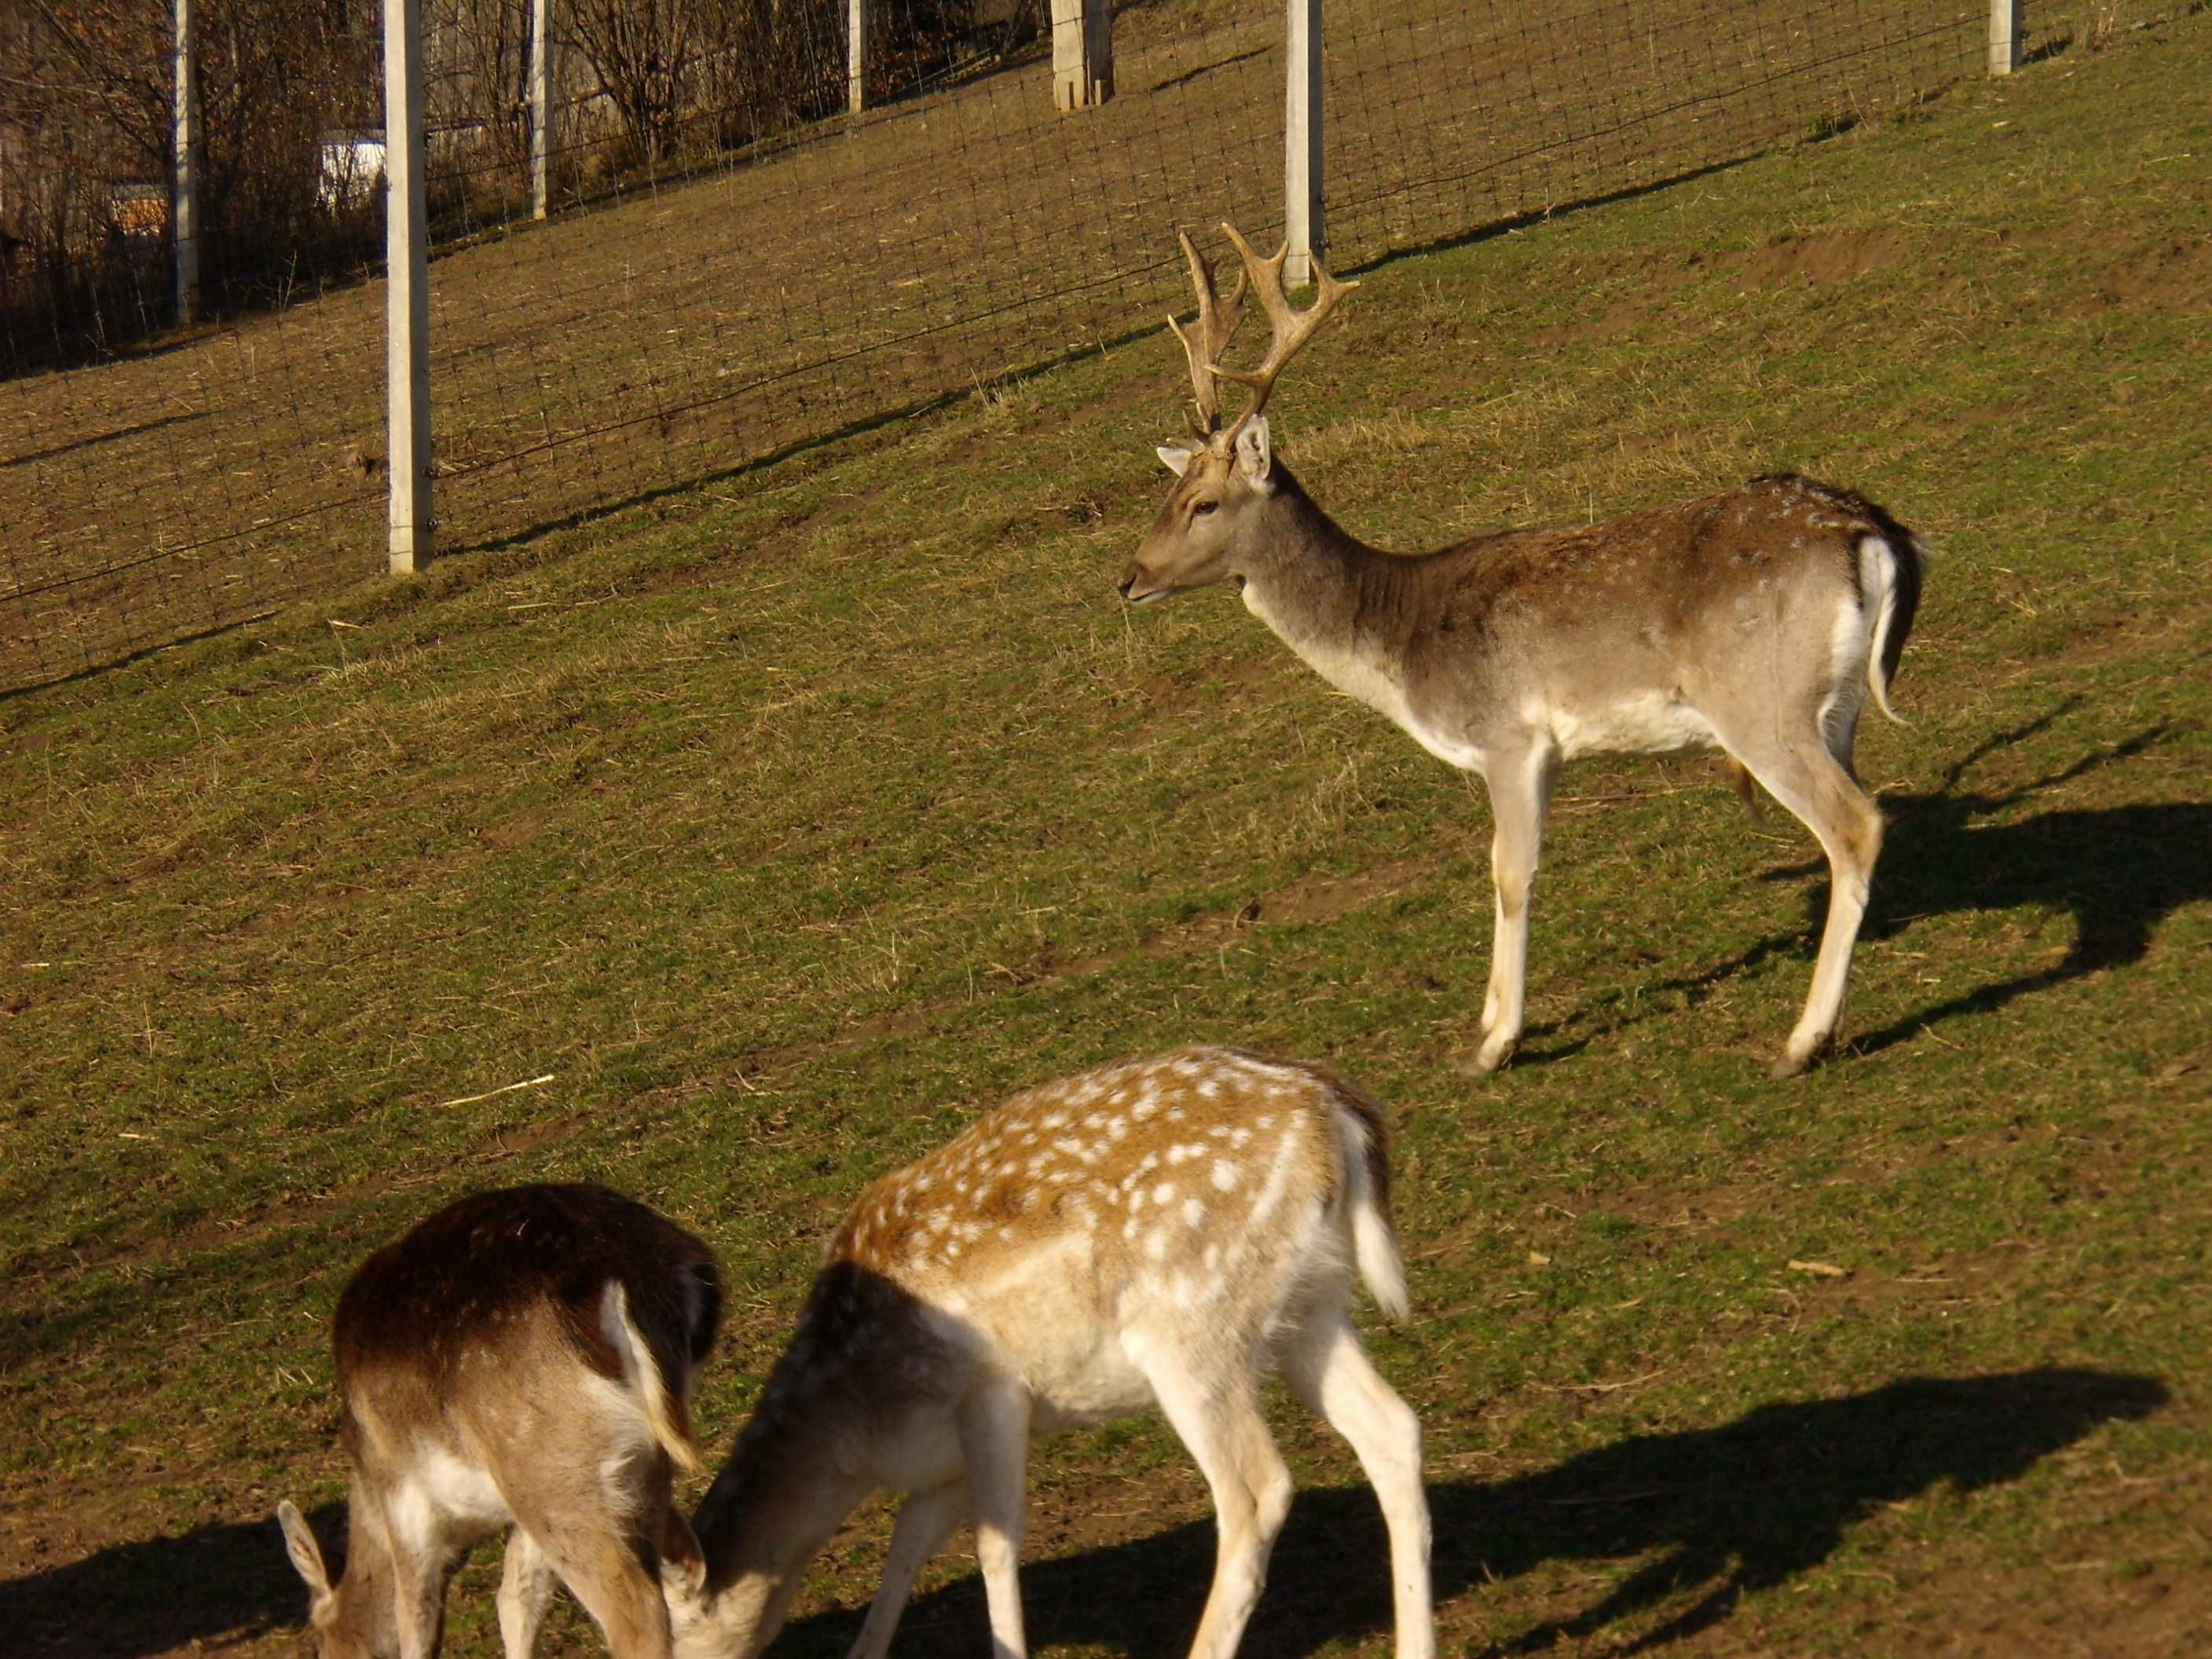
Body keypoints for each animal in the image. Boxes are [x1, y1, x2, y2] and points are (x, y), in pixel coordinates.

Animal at [273, 1185, 725, 1659]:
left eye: (318, 1646)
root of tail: (631, 1279)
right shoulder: (517, 1512)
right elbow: (516, 1599)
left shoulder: (405, 1504)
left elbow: (417, 1624)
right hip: (612, 1466)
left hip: (548, 1465)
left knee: (635, 1611)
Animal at [1115, 224, 1928, 1079]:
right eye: (1166, 496)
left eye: (1204, 504)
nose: (1128, 579)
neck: (1401, 639)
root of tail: (1872, 532)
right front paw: (1488, 1018)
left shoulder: (1510, 736)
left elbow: (1510, 870)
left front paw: (1495, 1042)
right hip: (1834, 708)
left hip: (1759, 703)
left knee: (1854, 824)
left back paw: (1802, 1041)